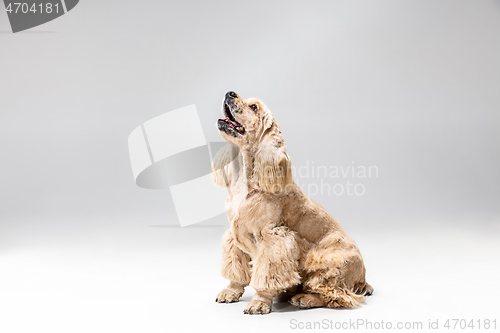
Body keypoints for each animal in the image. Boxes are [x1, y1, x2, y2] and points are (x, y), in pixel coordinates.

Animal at [211, 91, 372, 314]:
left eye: (253, 107)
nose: (230, 93)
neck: (245, 177)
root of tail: (363, 280)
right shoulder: (234, 236)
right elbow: (236, 270)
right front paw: (231, 291)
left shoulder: (272, 237)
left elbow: (266, 275)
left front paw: (260, 302)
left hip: (326, 263)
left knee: (339, 295)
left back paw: (305, 298)